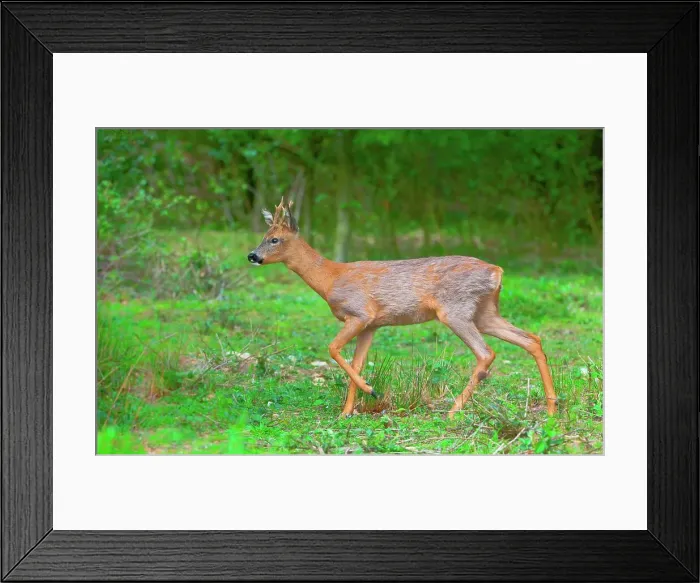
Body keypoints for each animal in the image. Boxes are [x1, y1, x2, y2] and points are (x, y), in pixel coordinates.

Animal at [247, 198, 557, 419]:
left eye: (275, 239)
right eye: (263, 235)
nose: (252, 255)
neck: (330, 279)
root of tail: (497, 271)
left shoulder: (359, 313)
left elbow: (333, 348)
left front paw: (371, 390)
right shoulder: (371, 325)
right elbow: (356, 363)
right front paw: (347, 412)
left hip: (455, 309)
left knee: (486, 353)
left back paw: (453, 410)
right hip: (485, 312)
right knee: (531, 339)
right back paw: (552, 407)